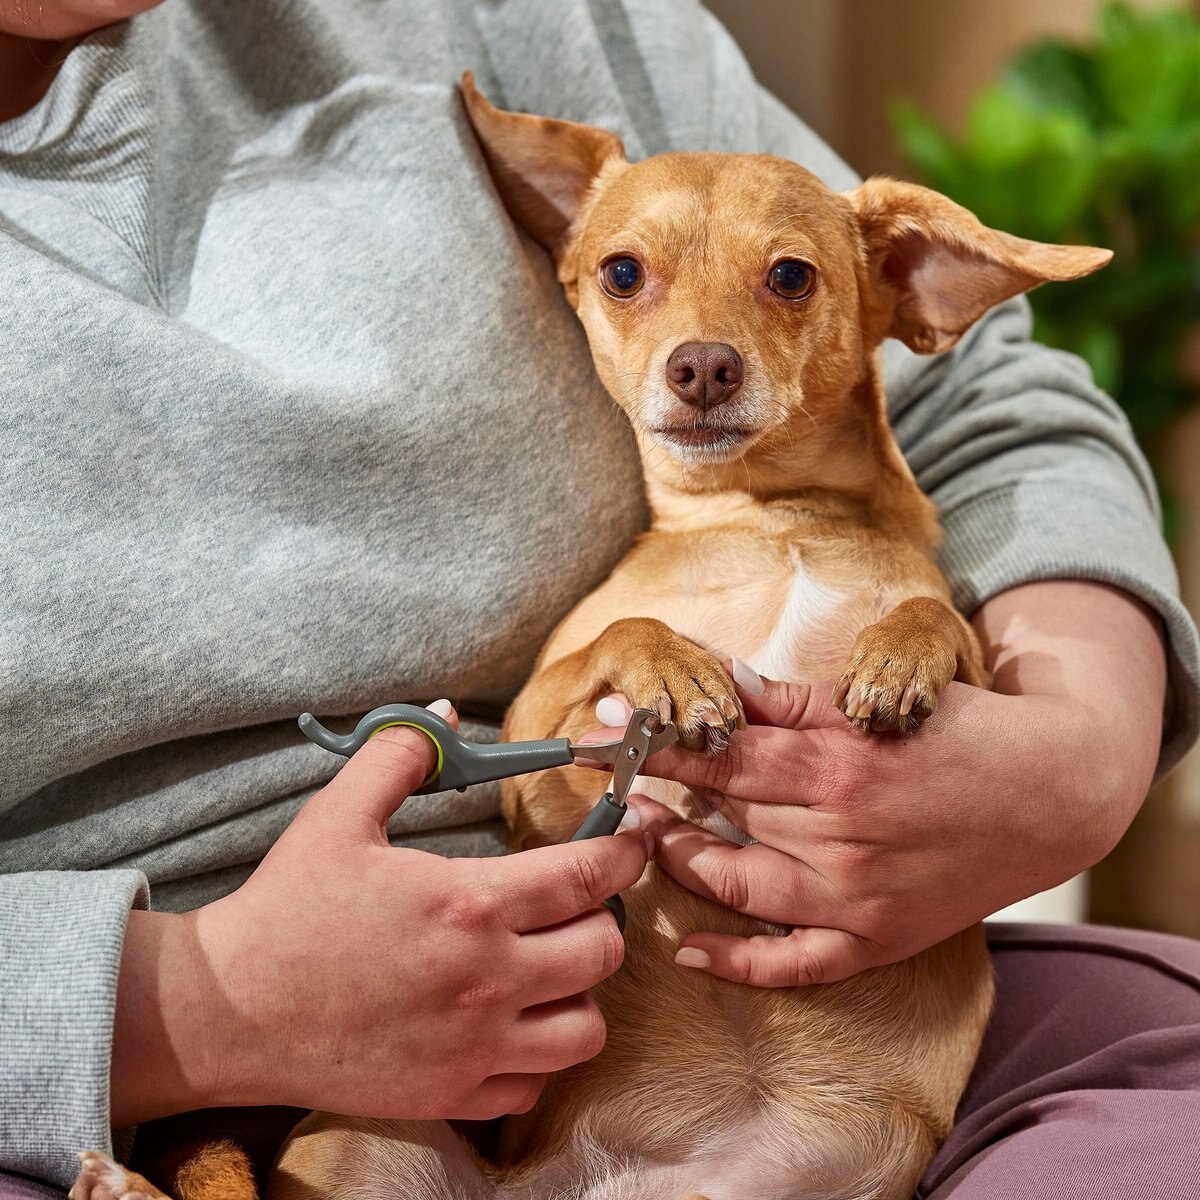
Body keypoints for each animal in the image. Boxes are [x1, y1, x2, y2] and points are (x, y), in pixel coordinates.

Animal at [72, 72, 1104, 1200]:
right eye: (622, 273)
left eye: (792, 276)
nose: (703, 366)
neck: (769, 522)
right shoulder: (535, 746)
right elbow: (621, 634)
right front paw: (675, 673)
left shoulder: (987, 681)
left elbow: (940, 620)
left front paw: (897, 655)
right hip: (368, 1141)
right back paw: (117, 1179)